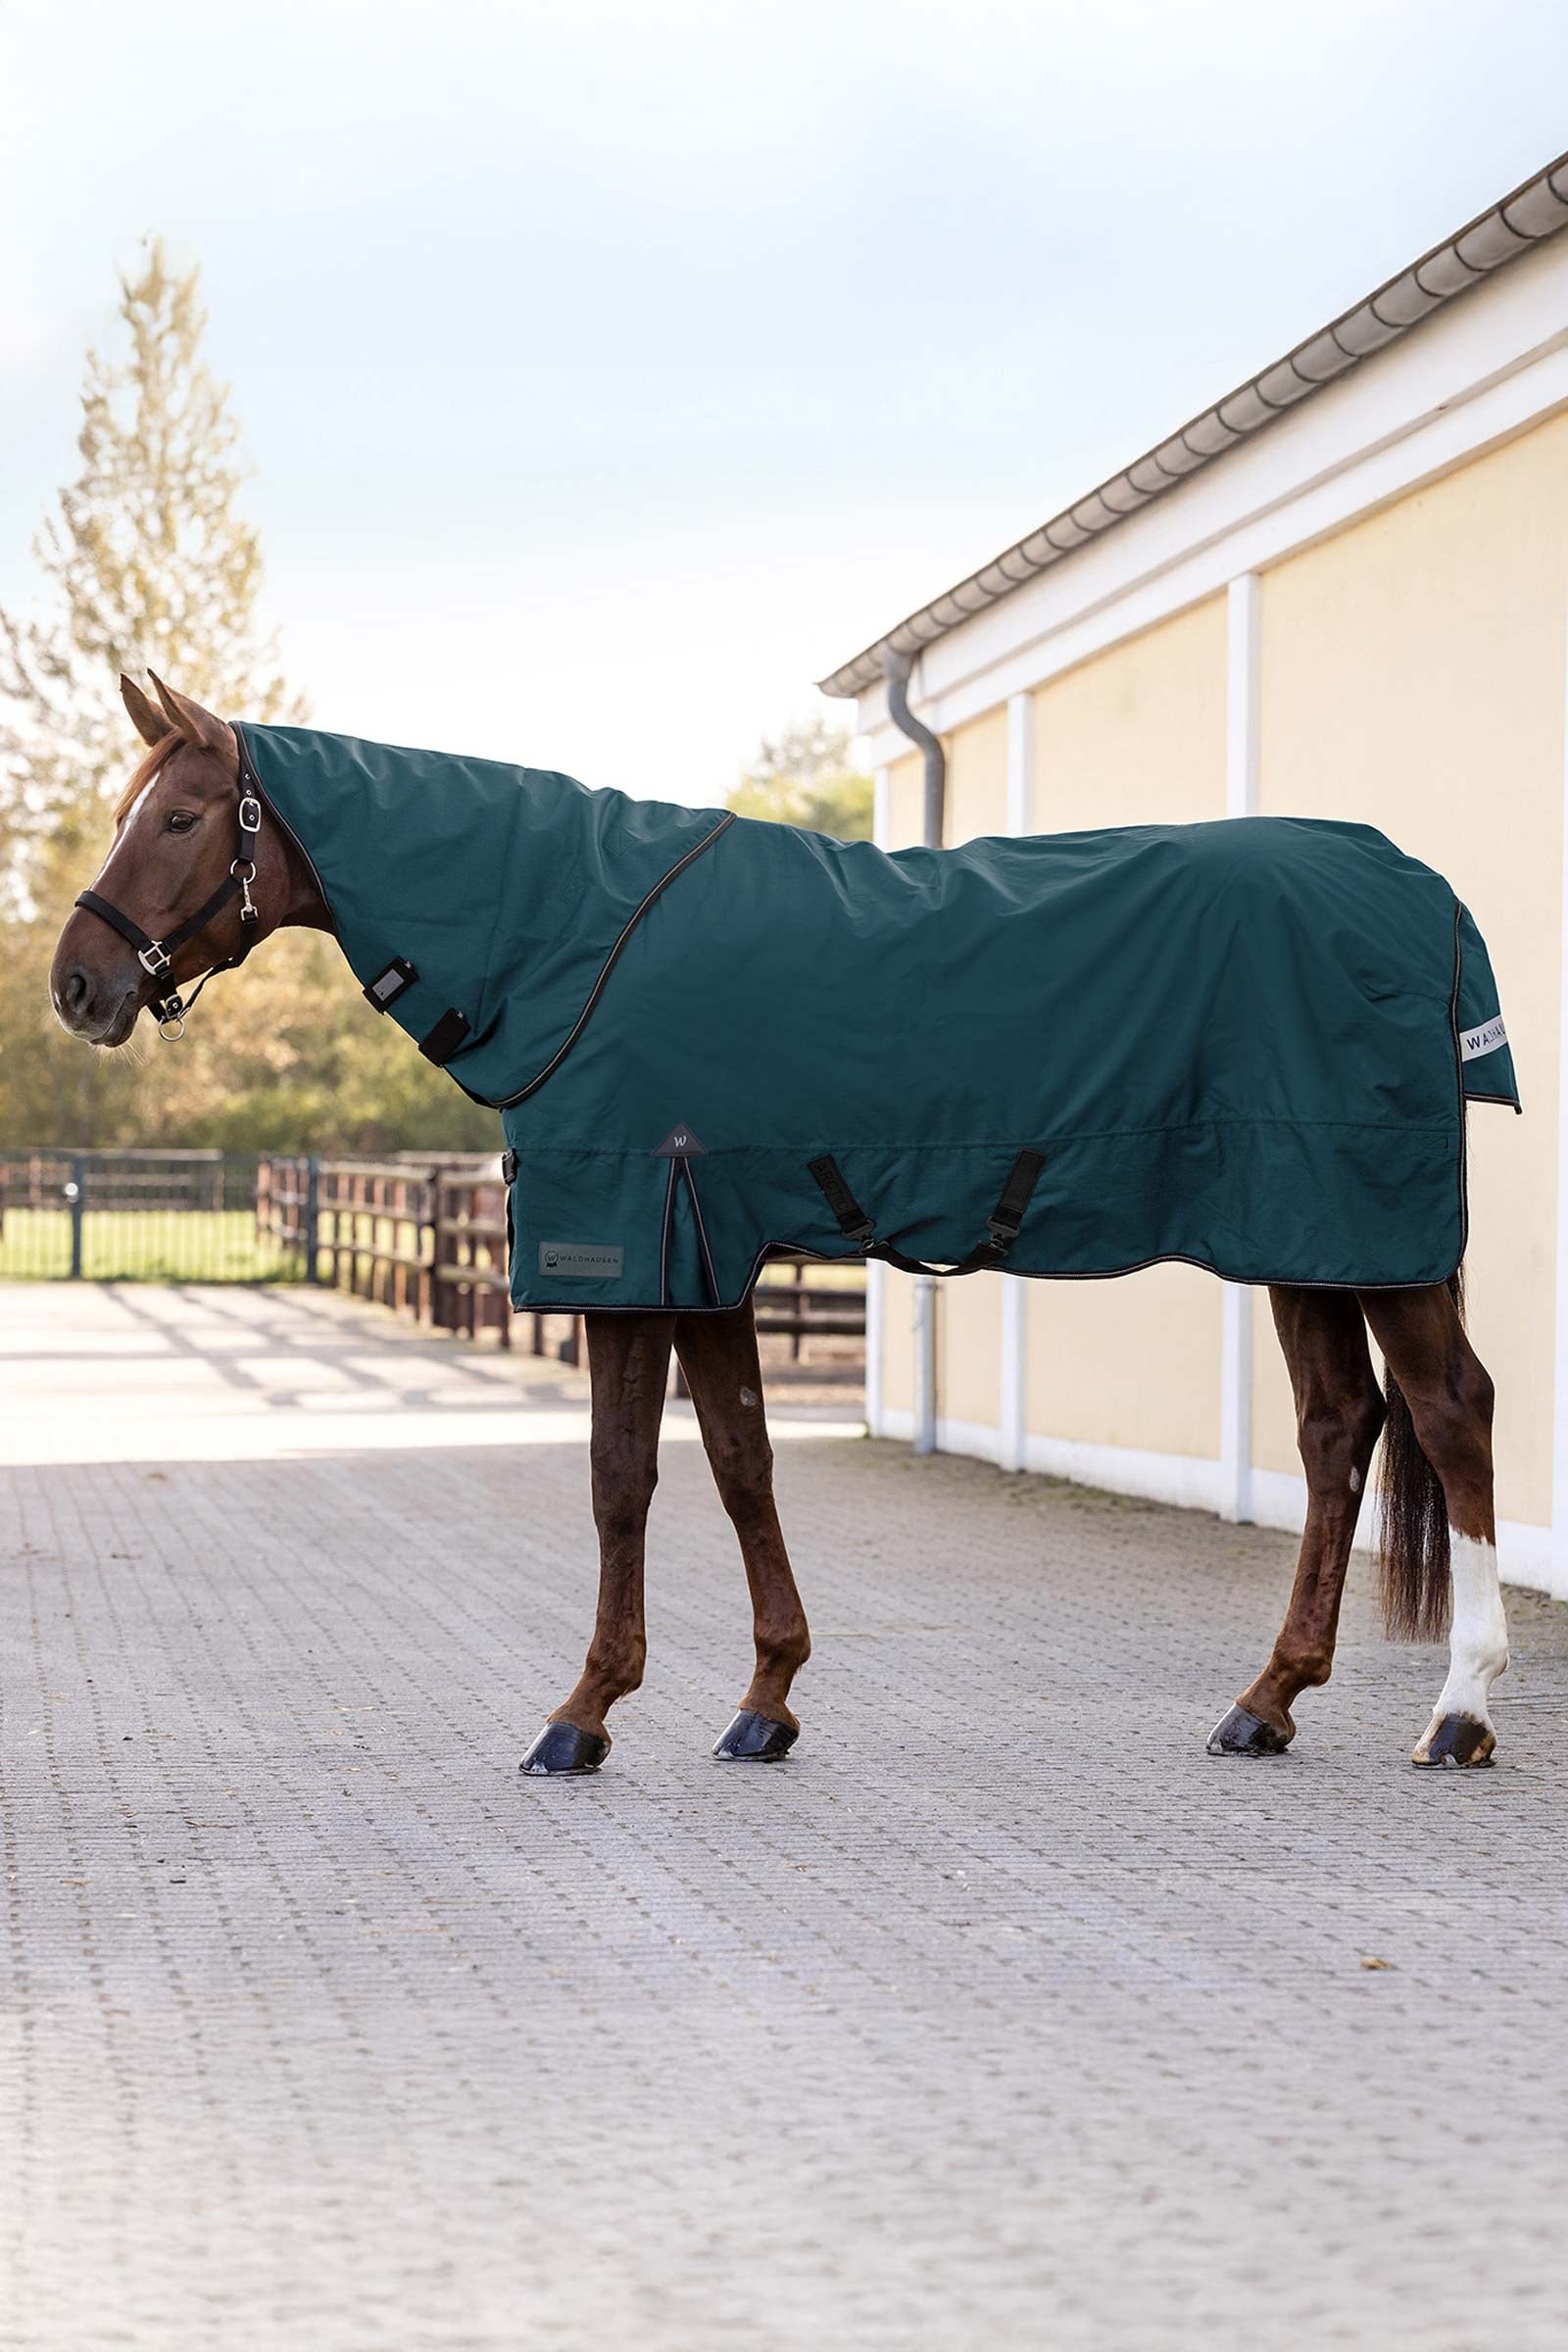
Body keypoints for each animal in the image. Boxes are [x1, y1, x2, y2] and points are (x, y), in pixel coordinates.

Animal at [49, 673, 1510, 1774]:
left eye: (180, 816)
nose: (77, 985)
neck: (570, 935)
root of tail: (1421, 892)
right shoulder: (706, 1257)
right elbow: (742, 1463)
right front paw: (765, 1702)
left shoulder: (630, 1249)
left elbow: (620, 1481)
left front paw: (582, 1716)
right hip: (1306, 1238)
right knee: (1337, 1433)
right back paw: (1266, 1702)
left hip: (1368, 1234)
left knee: (1450, 1414)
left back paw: (1459, 1712)